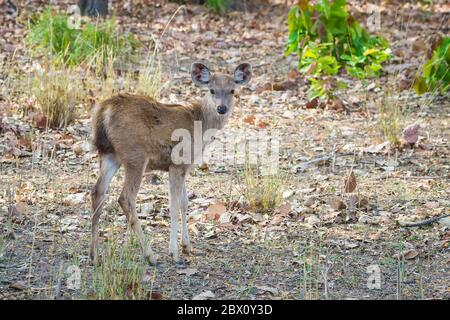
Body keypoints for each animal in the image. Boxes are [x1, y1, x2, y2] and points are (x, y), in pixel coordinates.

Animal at [89, 61, 251, 264]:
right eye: (212, 90)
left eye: (232, 90)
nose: (221, 109)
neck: (200, 123)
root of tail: (104, 110)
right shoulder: (178, 163)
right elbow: (173, 205)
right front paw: (174, 252)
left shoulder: (183, 167)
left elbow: (184, 202)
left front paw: (187, 246)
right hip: (135, 154)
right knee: (125, 197)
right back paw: (150, 255)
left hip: (109, 154)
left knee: (97, 192)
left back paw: (94, 255)